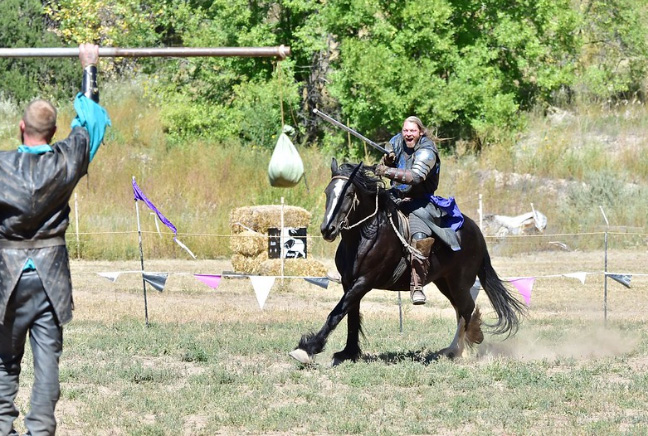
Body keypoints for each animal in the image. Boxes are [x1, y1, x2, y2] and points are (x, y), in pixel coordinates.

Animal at [292, 158, 524, 366]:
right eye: (327, 192)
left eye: (348, 194)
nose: (327, 229)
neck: (364, 235)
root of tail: (476, 231)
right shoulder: (349, 283)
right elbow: (351, 316)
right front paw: (348, 352)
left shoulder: (364, 282)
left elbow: (337, 313)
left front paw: (308, 348)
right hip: (446, 283)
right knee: (461, 310)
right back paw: (454, 350)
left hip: (459, 283)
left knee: (467, 309)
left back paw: (466, 345)